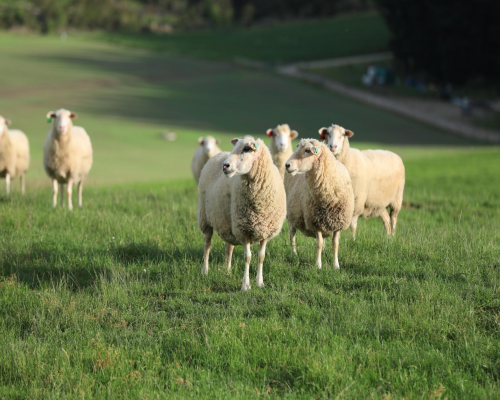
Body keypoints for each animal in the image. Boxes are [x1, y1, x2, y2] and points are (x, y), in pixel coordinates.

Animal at [198, 138, 288, 290]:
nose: (225, 166)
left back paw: (227, 272)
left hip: (228, 222)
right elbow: (248, 257)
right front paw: (246, 285)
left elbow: (261, 256)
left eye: (247, 149)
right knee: (207, 245)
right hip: (205, 218)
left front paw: (260, 282)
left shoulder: (265, 231)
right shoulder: (244, 229)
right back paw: (205, 271)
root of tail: (219, 154)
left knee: (228, 248)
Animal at [286, 140, 356, 268]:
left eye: (307, 150)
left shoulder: (338, 224)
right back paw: (294, 254)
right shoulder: (315, 221)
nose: (287, 165)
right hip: (292, 215)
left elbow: (335, 244)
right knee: (292, 235)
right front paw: (318, 265)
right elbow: (319, 244)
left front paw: (336, 265)